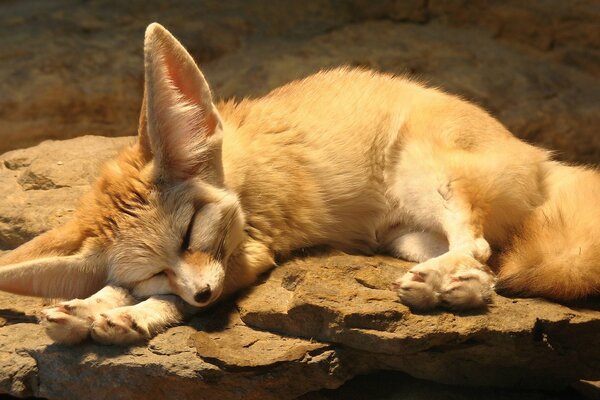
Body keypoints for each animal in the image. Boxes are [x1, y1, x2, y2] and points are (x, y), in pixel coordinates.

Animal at [1, 23, 600, 346]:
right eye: (153, 267)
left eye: (192, 232)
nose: (203, 292)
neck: (234, 170)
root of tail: (539, 156)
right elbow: (123, 287)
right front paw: (86, 307)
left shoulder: (248, 255)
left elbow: (170, 304)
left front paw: (129, 315)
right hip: (402, 237)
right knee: (489, 264)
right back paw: (452, 288)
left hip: (427, 177)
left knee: (475, 245)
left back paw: (443, 282)